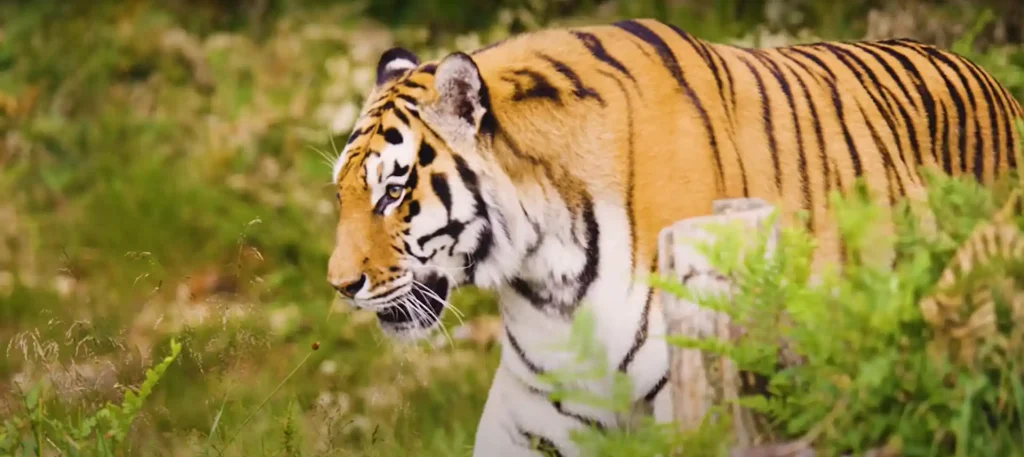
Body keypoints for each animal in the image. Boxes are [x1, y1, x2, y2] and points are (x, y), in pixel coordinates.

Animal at [325, 17, 1022, 457]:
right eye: (342, 195)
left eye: (393, 192)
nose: (340, 286)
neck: (548, 273)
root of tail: (990, 76)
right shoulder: (535, 411)